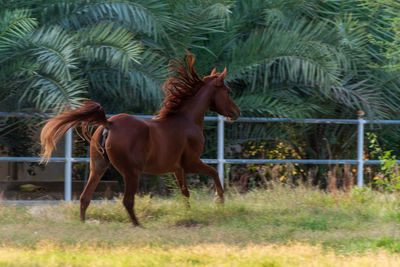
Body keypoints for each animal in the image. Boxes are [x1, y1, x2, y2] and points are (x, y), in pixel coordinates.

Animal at [39, 53, 241, 227]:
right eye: (228, 90)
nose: (236, 112)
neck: (186, 120)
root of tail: (109, 123)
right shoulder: (191, 163)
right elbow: (214, 173)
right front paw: (220, 200)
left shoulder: (178, 168)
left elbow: (185, 193)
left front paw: (188, 215)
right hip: (132, 172)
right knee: (127, 200)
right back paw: (139, 225)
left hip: (98, 167)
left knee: (85, 197)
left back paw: (84, 223)